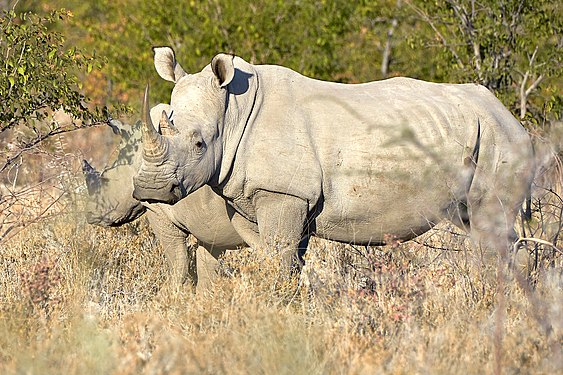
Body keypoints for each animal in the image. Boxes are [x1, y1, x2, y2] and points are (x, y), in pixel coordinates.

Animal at [83, 107, 260, 290]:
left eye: (105, 178)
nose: (90, 214)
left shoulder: (158, 210)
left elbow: (177, 260)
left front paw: (170, 292)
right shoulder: (207, 224)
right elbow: (206, 264)